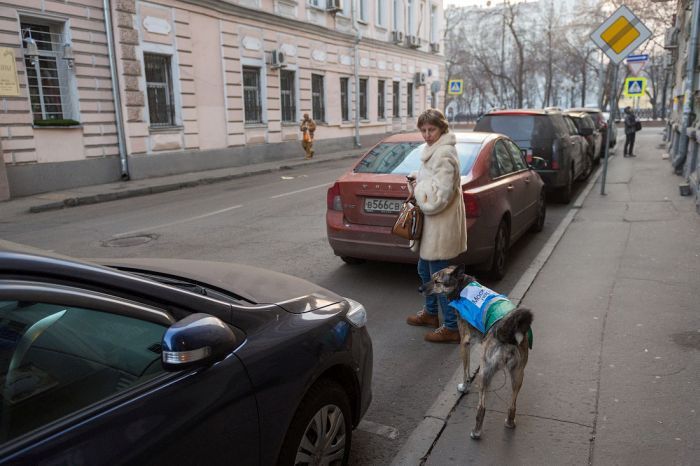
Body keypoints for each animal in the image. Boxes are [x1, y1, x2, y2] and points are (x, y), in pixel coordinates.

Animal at [422, 264, 532, 438]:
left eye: (437, 281)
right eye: (431, 278)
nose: (420, 288)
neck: (462, 286)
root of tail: (507, 333)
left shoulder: (464, 342)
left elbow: (465, 371)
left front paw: (464, 388)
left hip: (484, 371)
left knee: (482, 407)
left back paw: (476, 431)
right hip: (518, 374)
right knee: (513, 404)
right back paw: (509, 422)